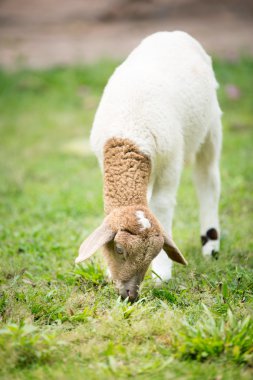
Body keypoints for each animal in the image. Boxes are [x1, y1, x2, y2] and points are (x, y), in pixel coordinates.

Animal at [74, 31, 221, 302]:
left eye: (154, 252)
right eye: (118, 248)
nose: (130, 295)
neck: (131, 132)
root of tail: (174, 33)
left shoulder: (171, 162)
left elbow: (162, 207)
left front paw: (161, 274)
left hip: (212, 125)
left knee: (208, 181)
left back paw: (211, 245)